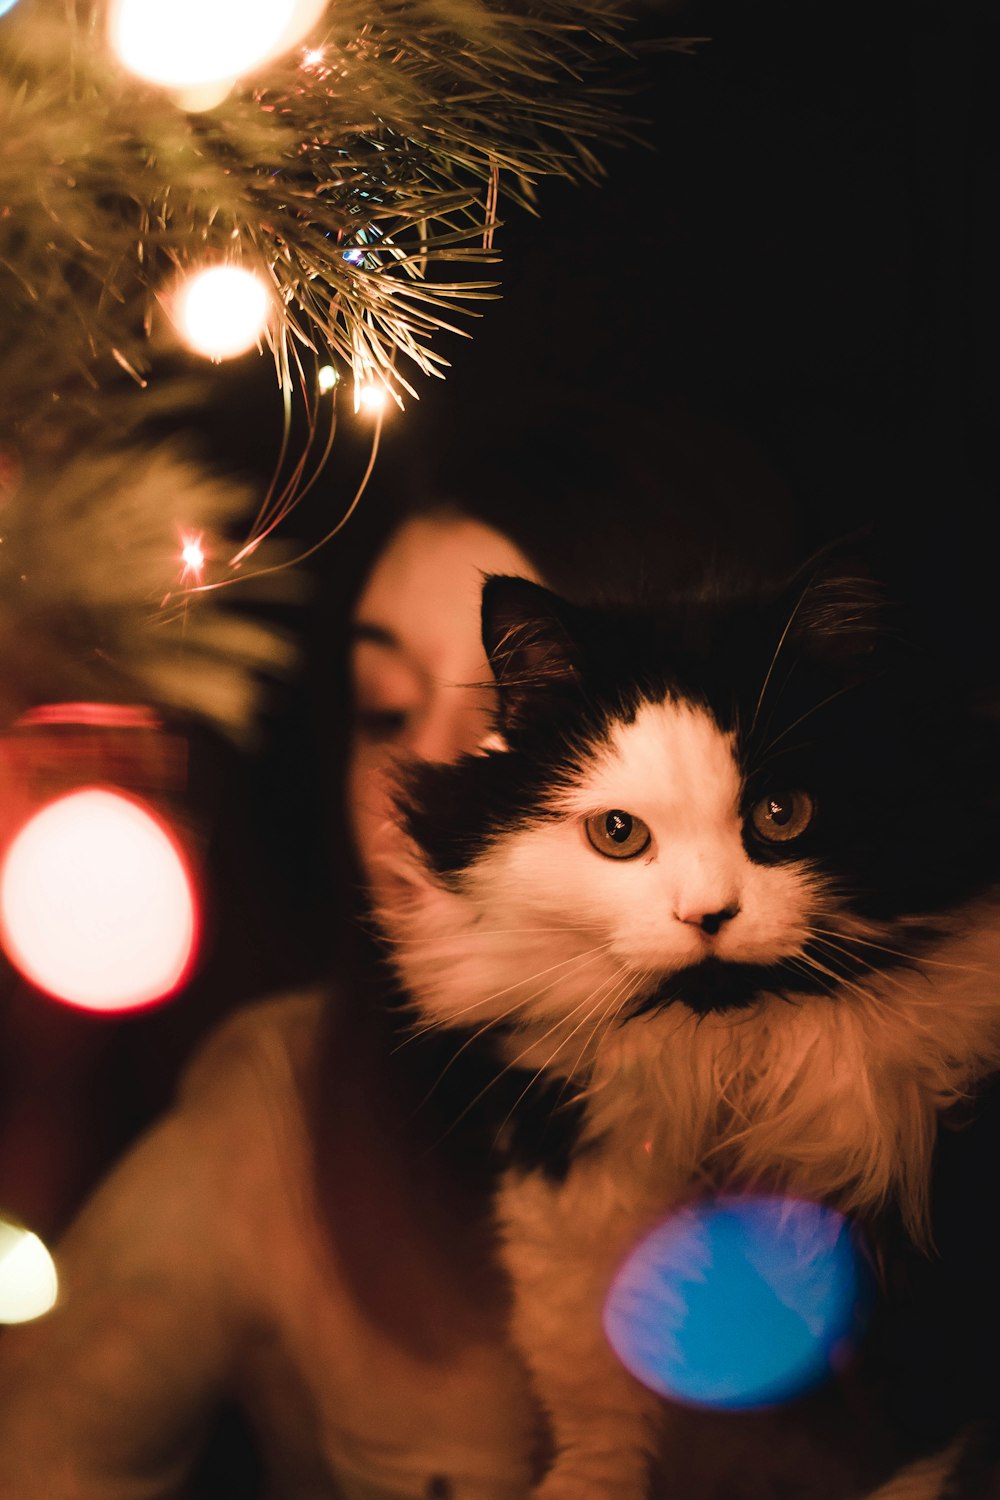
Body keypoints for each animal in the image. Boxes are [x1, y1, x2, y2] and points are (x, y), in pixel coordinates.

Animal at [373, 555, 1000, 1500]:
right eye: (617, 834)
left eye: (782, 814)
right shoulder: (571, 1192)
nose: (707, 916)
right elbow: (594, 1394)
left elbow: (926, 1448)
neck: (730, 1054)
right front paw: (587, 1484)